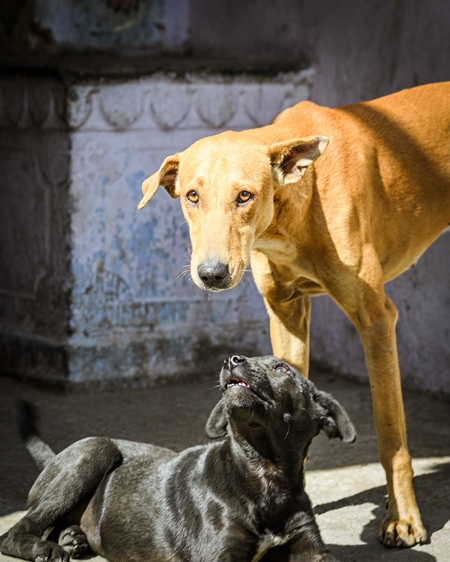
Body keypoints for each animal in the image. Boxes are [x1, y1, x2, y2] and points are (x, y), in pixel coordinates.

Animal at [1, 354, 356, 560]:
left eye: (281, 368)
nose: (232, 358)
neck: (263, 473)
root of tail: (51, 459)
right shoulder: (218, 557)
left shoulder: (312, 549)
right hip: (96, 450)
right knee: (15, 531)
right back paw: (46, 547)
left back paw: (73, 537)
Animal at [139, 83, 450, 548]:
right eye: (192, 196)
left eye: (245, 195)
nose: (211, 275)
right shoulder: (286, 315)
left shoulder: (376, 318)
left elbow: (390, 429)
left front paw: (403, 518)